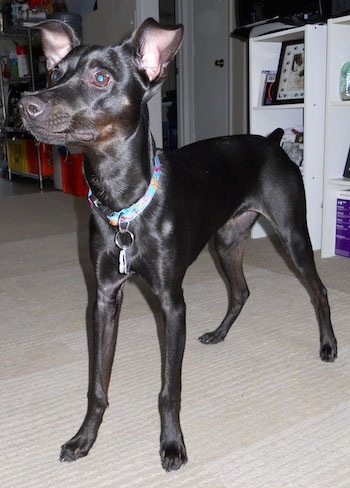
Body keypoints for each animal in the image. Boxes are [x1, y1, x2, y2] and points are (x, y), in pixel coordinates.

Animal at [19, 19, 336, 472]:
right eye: (55, 73)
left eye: (101, 78)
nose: (26, 105)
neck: (124, 205)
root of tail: (273, 140)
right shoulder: (104, 298)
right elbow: (97, 384)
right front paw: (85, 438)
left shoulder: (171, 303)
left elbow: (170, 388)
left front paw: (171, 444)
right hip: (227, 241)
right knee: (241, 291)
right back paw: (219, 334)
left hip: (292, 236)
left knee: (319, 290)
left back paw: (328, 346)